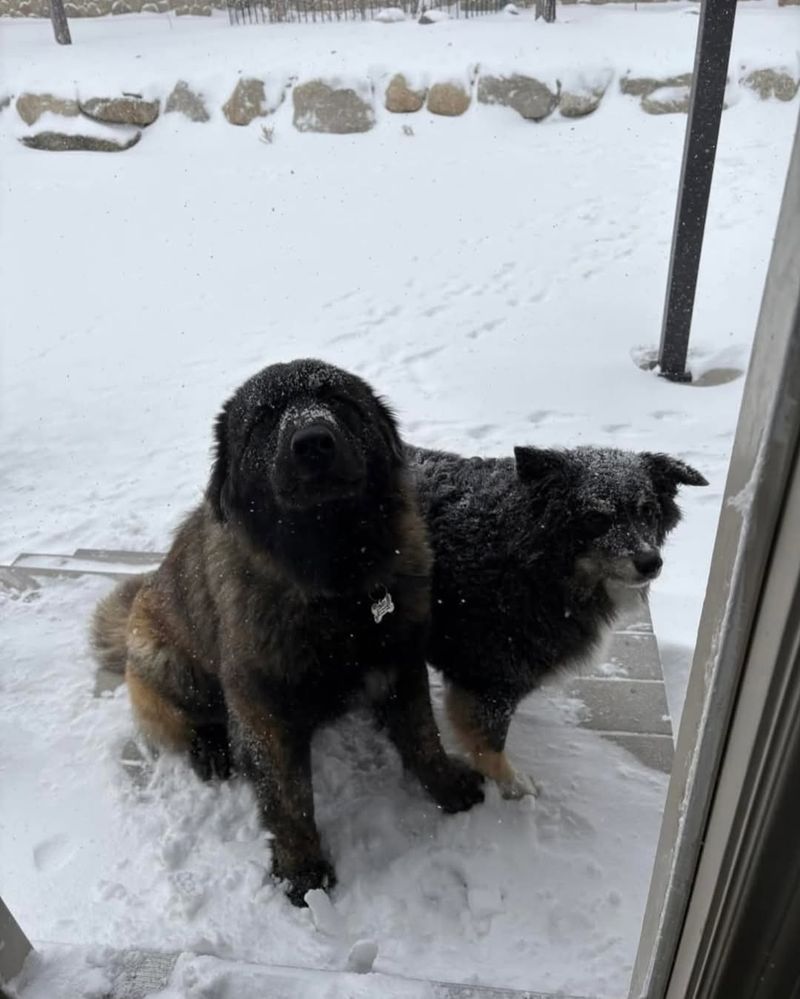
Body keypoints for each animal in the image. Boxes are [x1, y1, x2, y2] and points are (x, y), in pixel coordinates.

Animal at [93, 362, 482, 908]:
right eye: (264, 416)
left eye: (337, 399)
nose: (313, 442)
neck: (336, 586)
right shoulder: (263, 709)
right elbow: (289, 799)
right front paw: (302, 871)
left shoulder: (401, 661)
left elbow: (423, 736)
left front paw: (445, 786)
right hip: (168, 663)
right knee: (184, 720)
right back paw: (210, 750)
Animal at [412, 446, 708, 796]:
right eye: (595, 517)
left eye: (647, 511)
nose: (651, 562)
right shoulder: (492, 675)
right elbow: (490, 741)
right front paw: (512, 785)